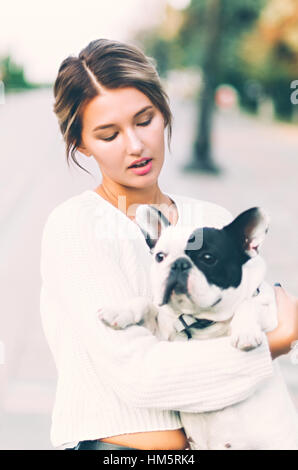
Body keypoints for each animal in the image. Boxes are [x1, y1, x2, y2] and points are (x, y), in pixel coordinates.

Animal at [100, 207, 298, 450]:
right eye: (160, 257)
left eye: (208, 258)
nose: (179, 264)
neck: (200, 321)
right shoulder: (160, 333)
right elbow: (145, 303)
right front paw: (119, 311)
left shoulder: (271, 311)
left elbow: (249, 304)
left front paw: (245, 332)